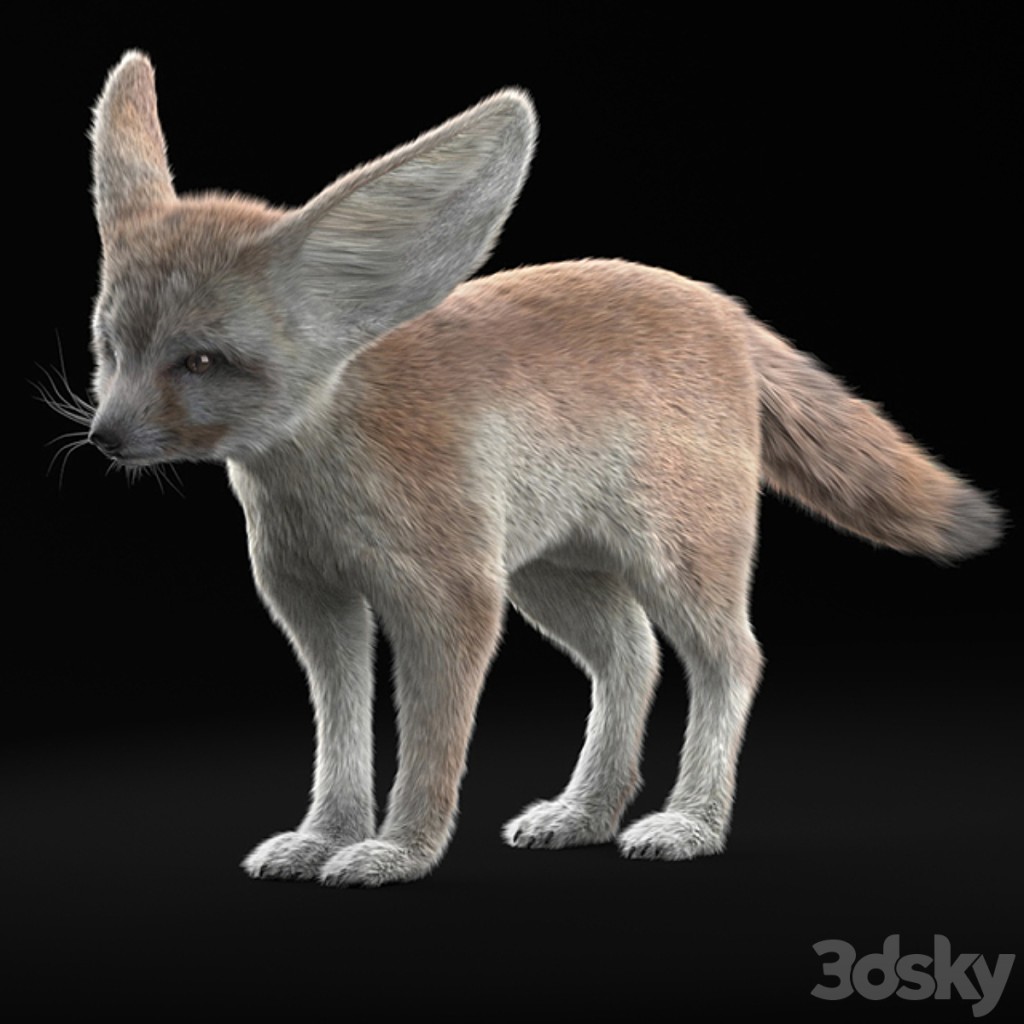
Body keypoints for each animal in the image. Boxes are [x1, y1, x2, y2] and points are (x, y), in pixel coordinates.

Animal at [72, 50, 1002, 888]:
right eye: (110, 350)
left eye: (200, 362)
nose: (104, 438)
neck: (322, 477)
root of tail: (722, 307)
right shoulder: (315, 604)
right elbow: (341, 736)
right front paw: (322, 838)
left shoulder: (452, 604)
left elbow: (430, 747)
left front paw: (398, 852)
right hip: (553, 580)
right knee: (633, 660)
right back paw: (586, 813)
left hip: (674, 569)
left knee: (731, 661)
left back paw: (691, 823)